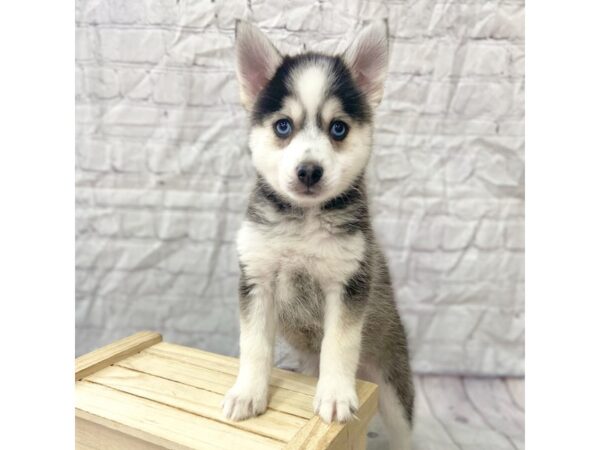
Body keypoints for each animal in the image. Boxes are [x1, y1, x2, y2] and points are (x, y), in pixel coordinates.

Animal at [223, 19, 414, 448]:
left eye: (338, 129)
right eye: (283, 126)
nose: (309, 171)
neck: (303, 224)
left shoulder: (348, 283)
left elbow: (338, 344)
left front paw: (335, 396)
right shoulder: (257, 279)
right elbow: (253, 344)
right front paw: (248, 392)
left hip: (393, 384)